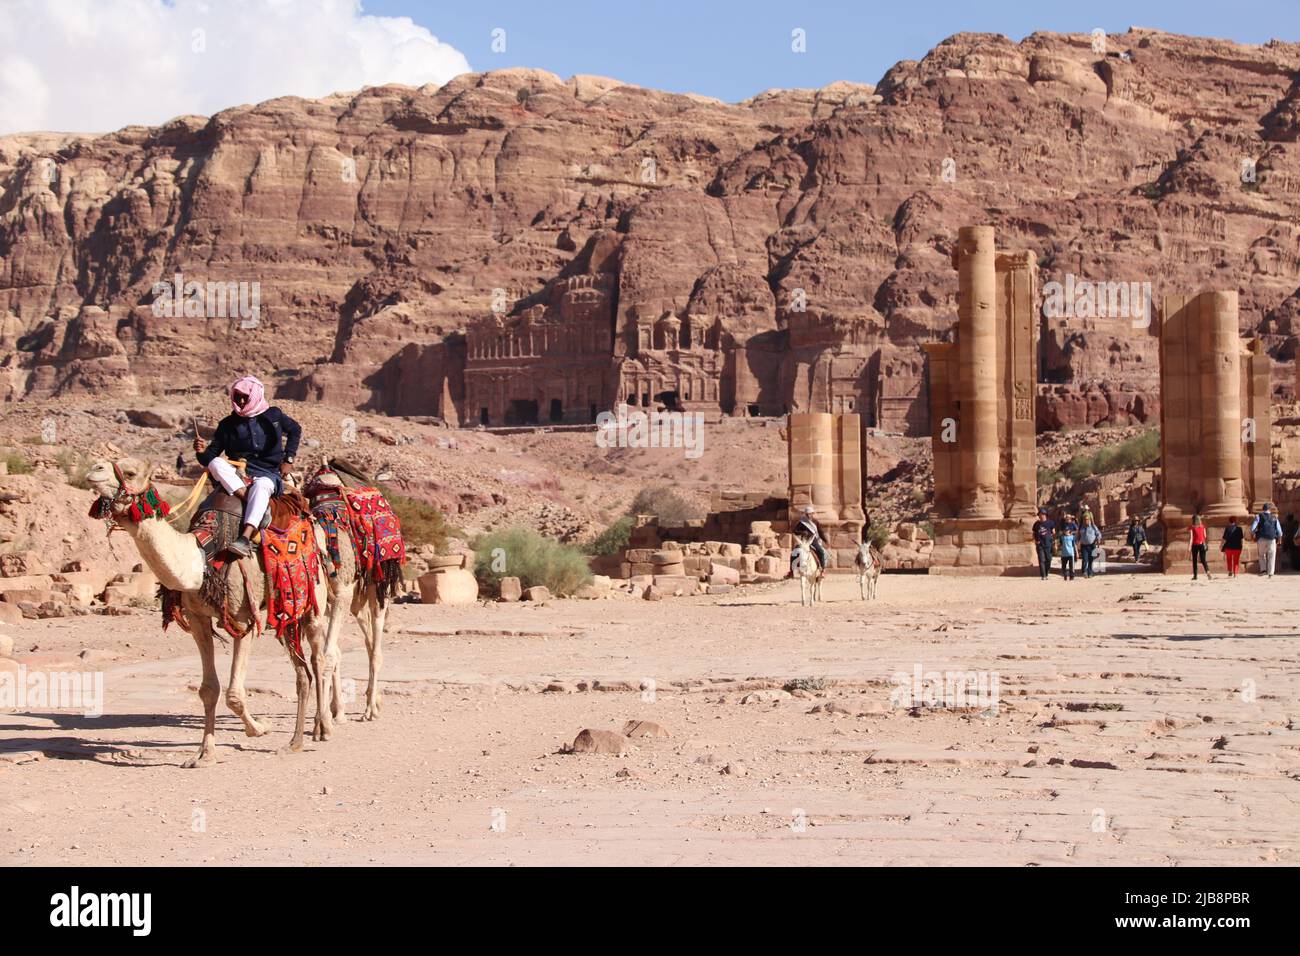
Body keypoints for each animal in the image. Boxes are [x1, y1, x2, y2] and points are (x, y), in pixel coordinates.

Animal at [84, 460, 332, 764]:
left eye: (130, 472)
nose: (94, 469)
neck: (203, 556)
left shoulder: (243, 619)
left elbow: (234, 694)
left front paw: (259, 728)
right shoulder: (197, 619)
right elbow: (209, 689)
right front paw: (204, 754)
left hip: (313, 598)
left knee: (318, 659)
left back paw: (323, 728)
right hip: (284, 608)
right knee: (301, 671)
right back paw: (295, 742)